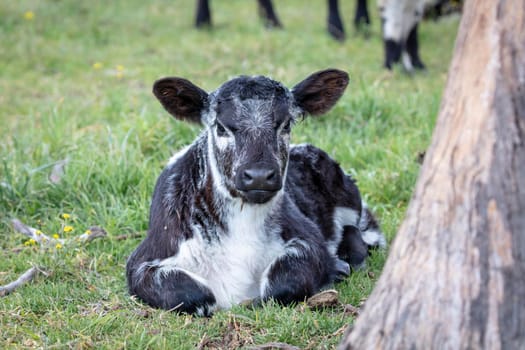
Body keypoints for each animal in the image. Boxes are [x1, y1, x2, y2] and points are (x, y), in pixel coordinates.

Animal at [125, 69, 382, 316]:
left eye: (286, 124)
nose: (259, 175)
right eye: (221, 127)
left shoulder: (310, 239)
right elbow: (190, 294)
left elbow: (281, 284)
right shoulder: (143, 260)